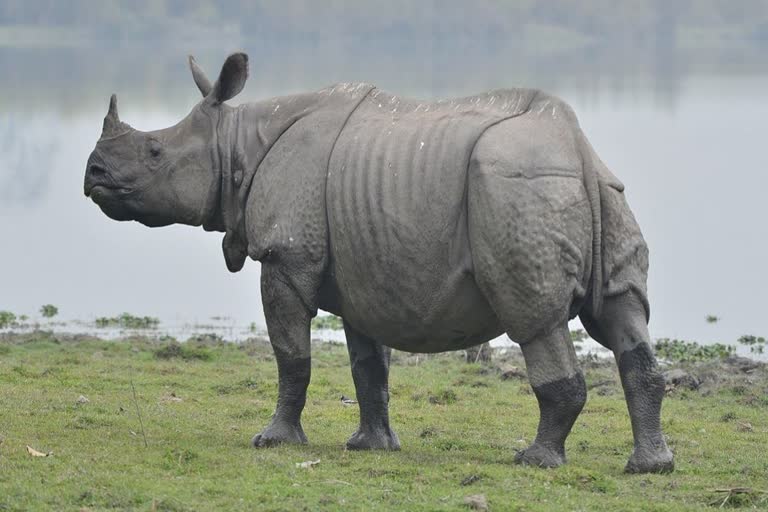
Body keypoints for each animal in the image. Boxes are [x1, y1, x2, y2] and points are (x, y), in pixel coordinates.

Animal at [84, 53, 674, 473]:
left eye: (155, 153)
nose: (92, 174)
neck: (236, 145)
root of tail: (575, 148)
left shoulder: (286, 257)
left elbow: (291, 357)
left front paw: (273, 441)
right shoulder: (364, 269)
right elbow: (368, 366)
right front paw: (370, 446)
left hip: (516, 191)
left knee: (535, 319)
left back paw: (535, 462)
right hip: (601, 192)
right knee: (622, 315)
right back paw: (650, 468)